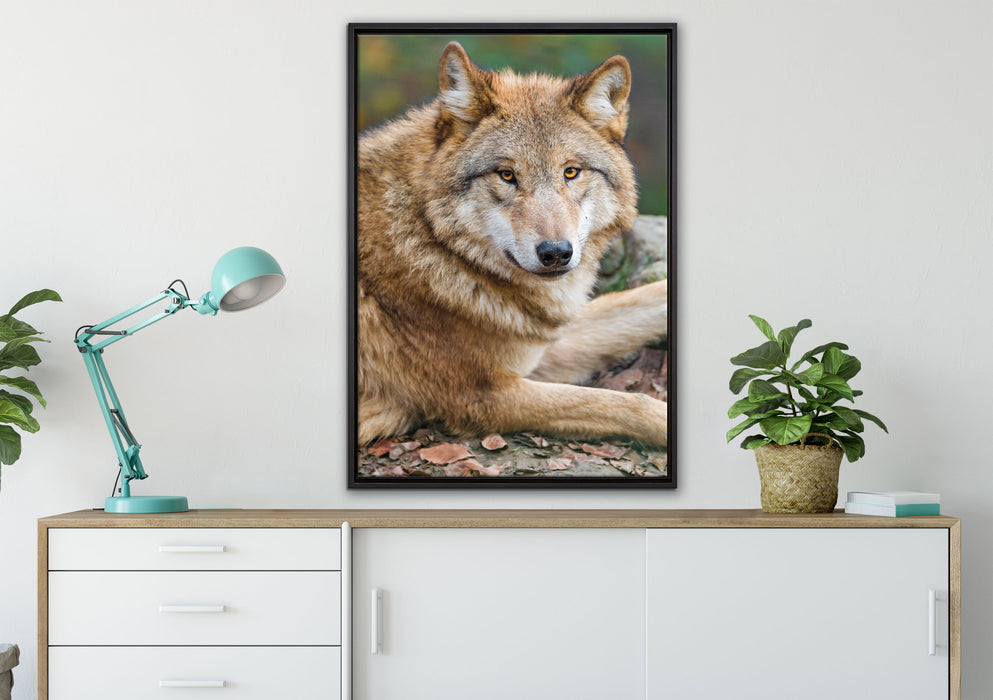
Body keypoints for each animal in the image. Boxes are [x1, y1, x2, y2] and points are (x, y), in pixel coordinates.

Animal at [357, 42, 668, 448]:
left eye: (570, 172)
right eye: (507, 175)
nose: (556, 253)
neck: (432, 242)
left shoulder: (537, 344)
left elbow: (647, 298)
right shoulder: (485, 396)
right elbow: (626, 404)